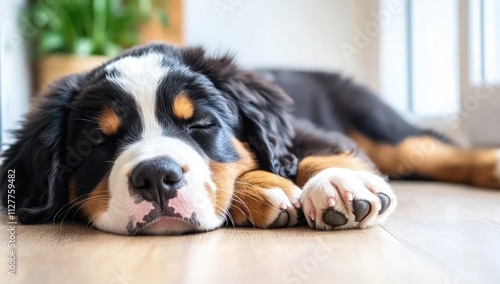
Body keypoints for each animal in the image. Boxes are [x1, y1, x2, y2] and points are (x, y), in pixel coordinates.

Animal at [0, 43, 498, 235]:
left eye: (201, 126)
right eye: (96, 144)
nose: (156, 177)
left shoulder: (303, 129)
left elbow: (311, 153)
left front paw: (336, 184)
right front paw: (264, 192)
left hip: (382, 127)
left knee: (432, 150)